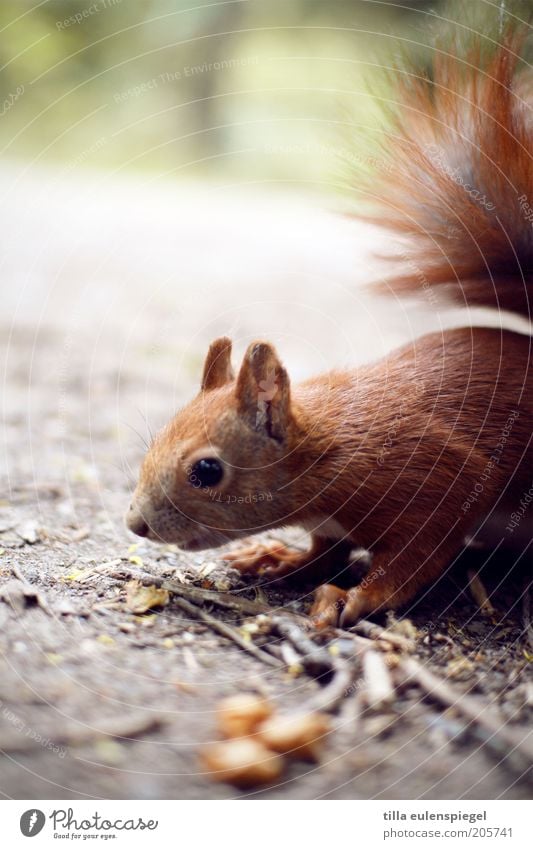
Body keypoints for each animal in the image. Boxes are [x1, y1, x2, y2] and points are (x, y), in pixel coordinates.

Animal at [125, 23, 532, 628]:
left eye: (206, 471)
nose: (136, 523)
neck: (320, 452)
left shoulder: (437, 478)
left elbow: (416, 556)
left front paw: (357, 596)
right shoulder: (332, 523)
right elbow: (324, 552)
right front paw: (279, 558)